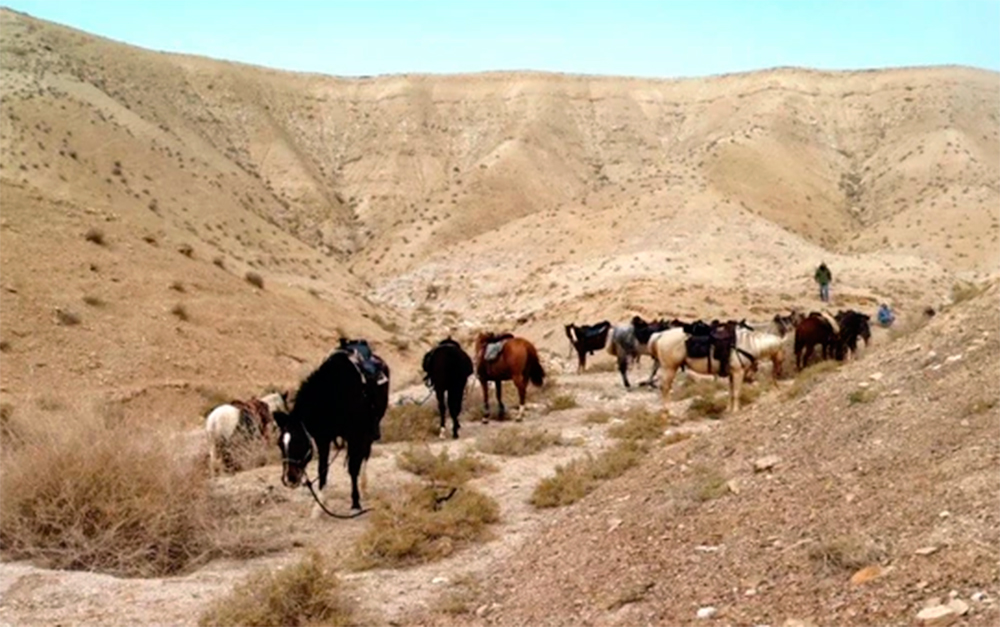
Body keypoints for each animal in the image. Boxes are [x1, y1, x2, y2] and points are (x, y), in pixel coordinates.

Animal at [274, 340, 390, 512]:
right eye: (280, 444)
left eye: (299, 443)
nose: (289, 479)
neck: (333, 394)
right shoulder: (323, 438)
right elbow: (323, 469)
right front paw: (318, 508)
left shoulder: (355, 435)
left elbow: (353, 467)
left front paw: (355, 502)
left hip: (370, 428)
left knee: (365, 455)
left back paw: (364, 487)